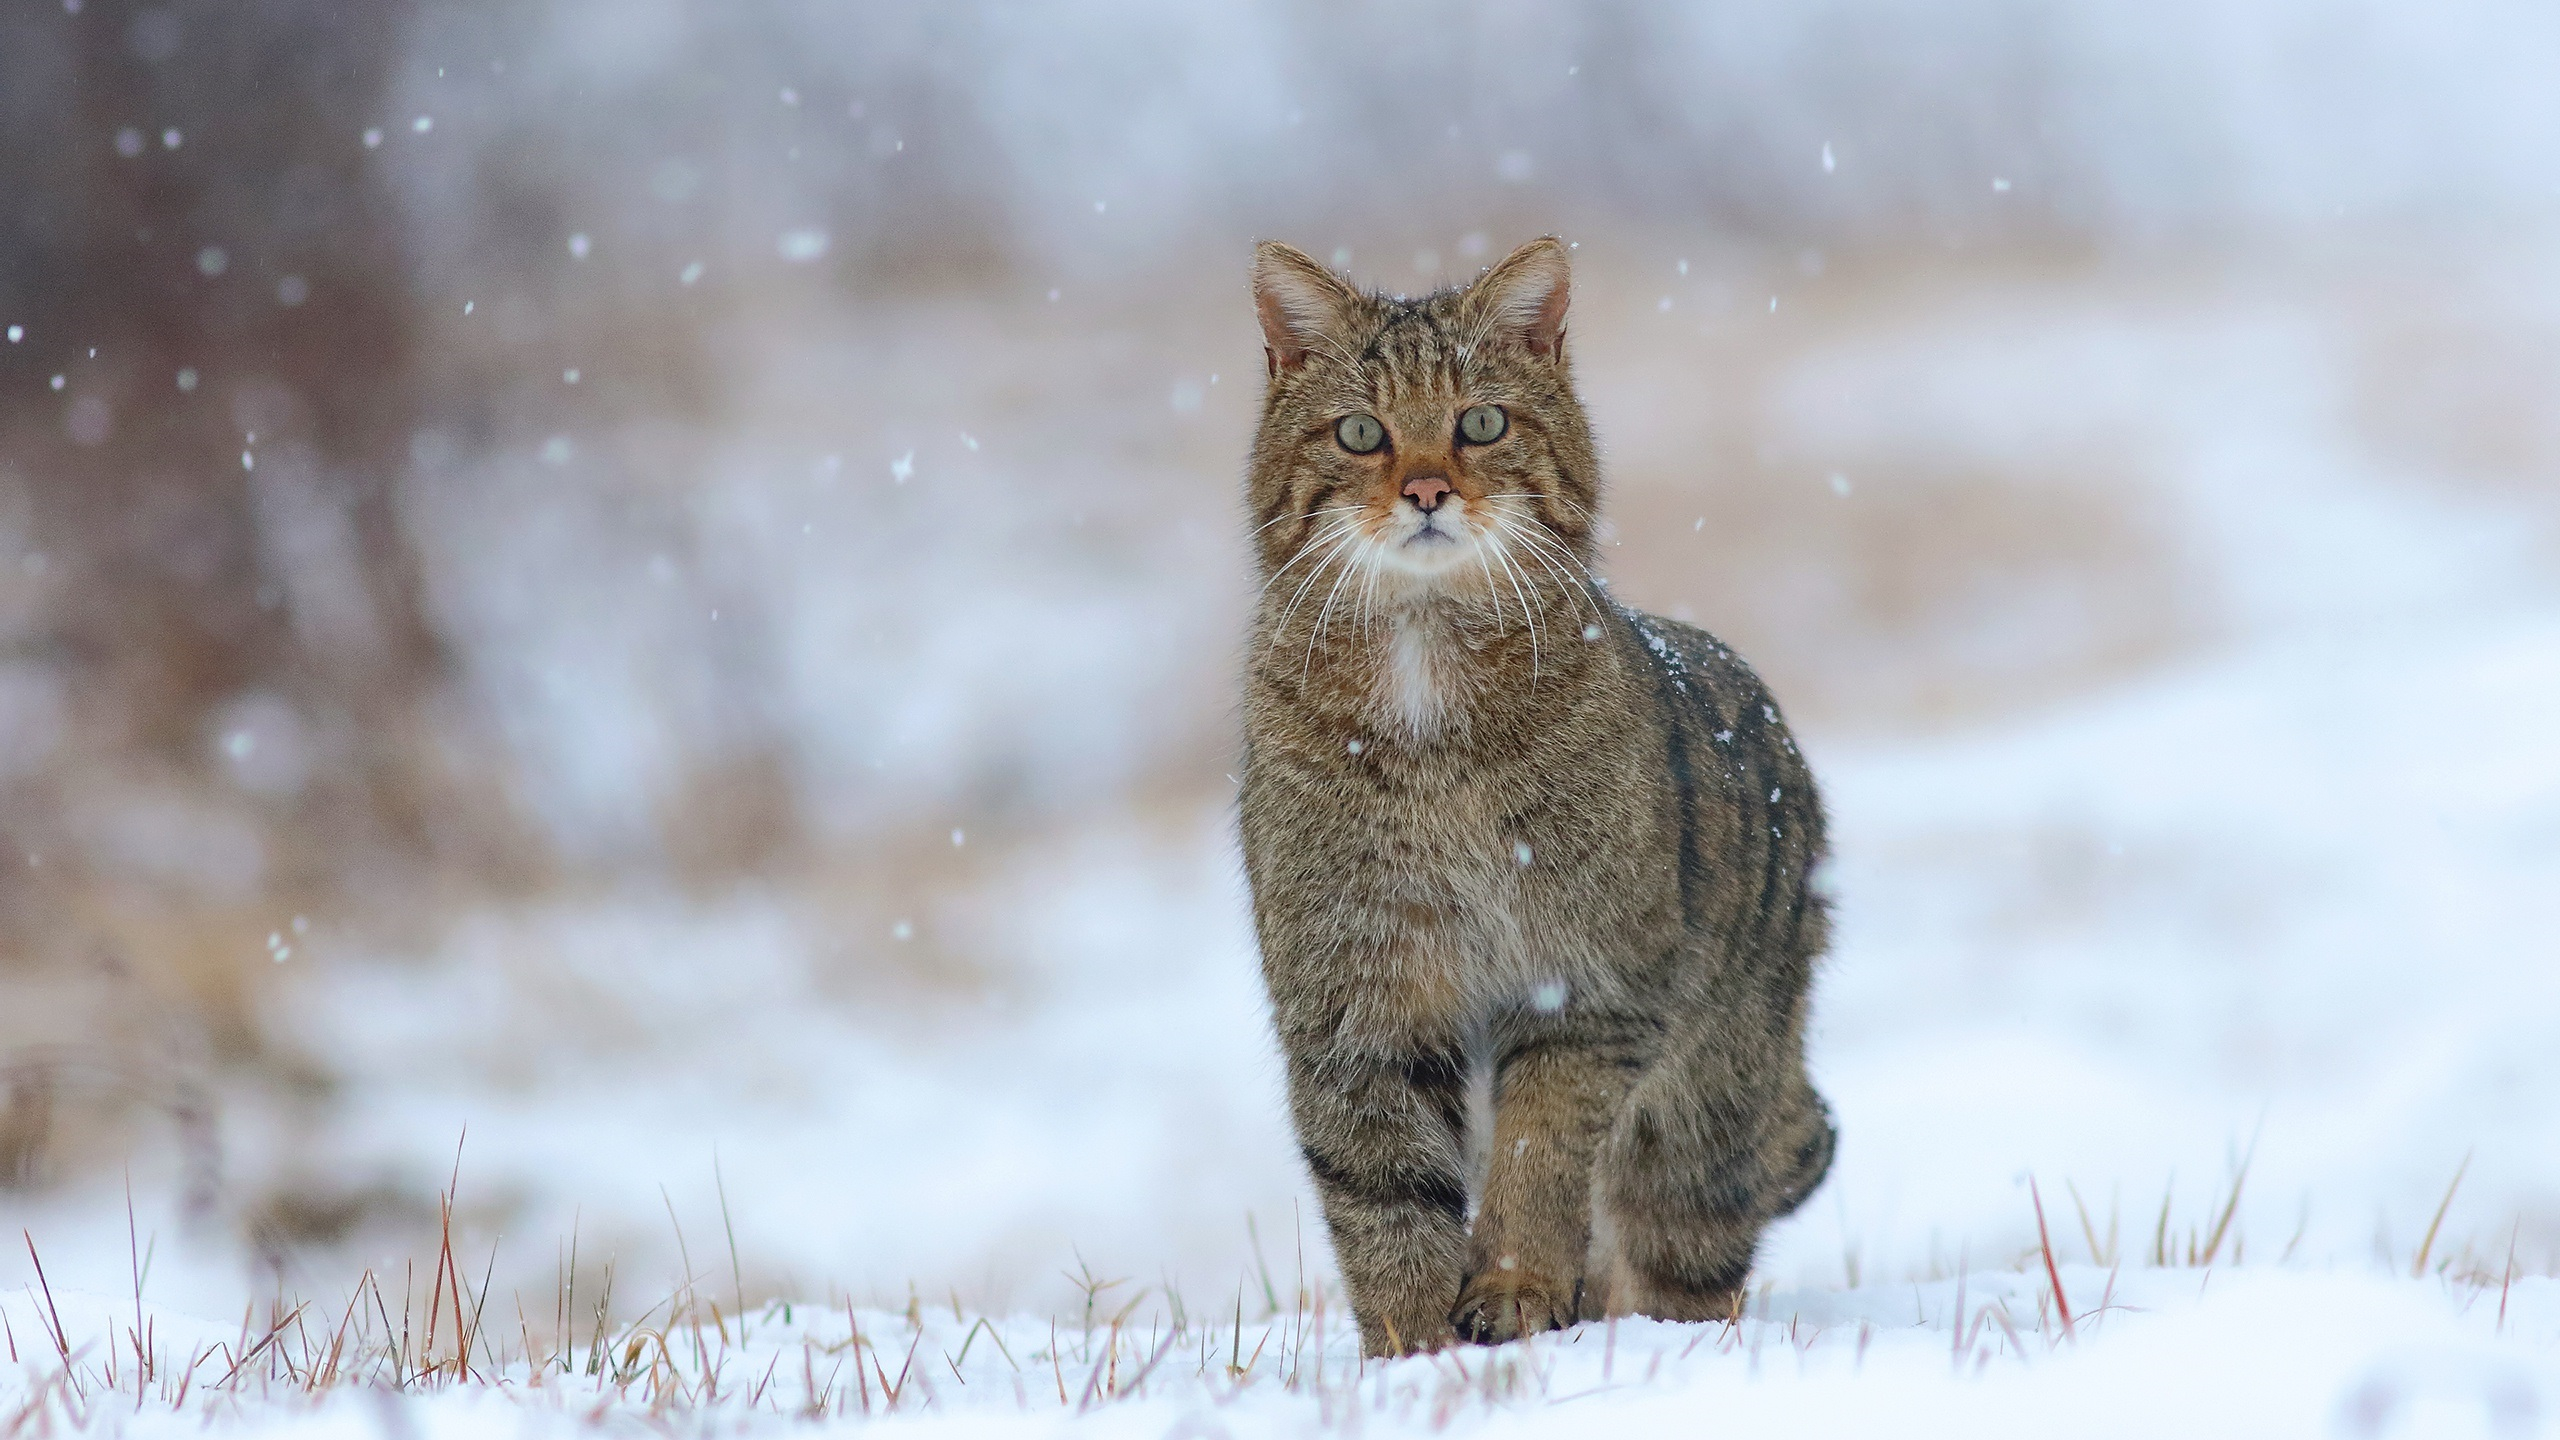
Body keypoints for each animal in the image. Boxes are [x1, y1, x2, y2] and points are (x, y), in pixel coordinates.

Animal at [1228, 233, 1832, 1342]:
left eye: (1481, 422)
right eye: (1361, 433)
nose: (1427, 491)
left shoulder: (1584, 986)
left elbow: (1537, 1154)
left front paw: (1509, 1289)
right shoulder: (1352, 994)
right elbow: (1383, 1193)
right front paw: (1417, 1342)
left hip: (1703, 1117)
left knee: (1678, 1257)